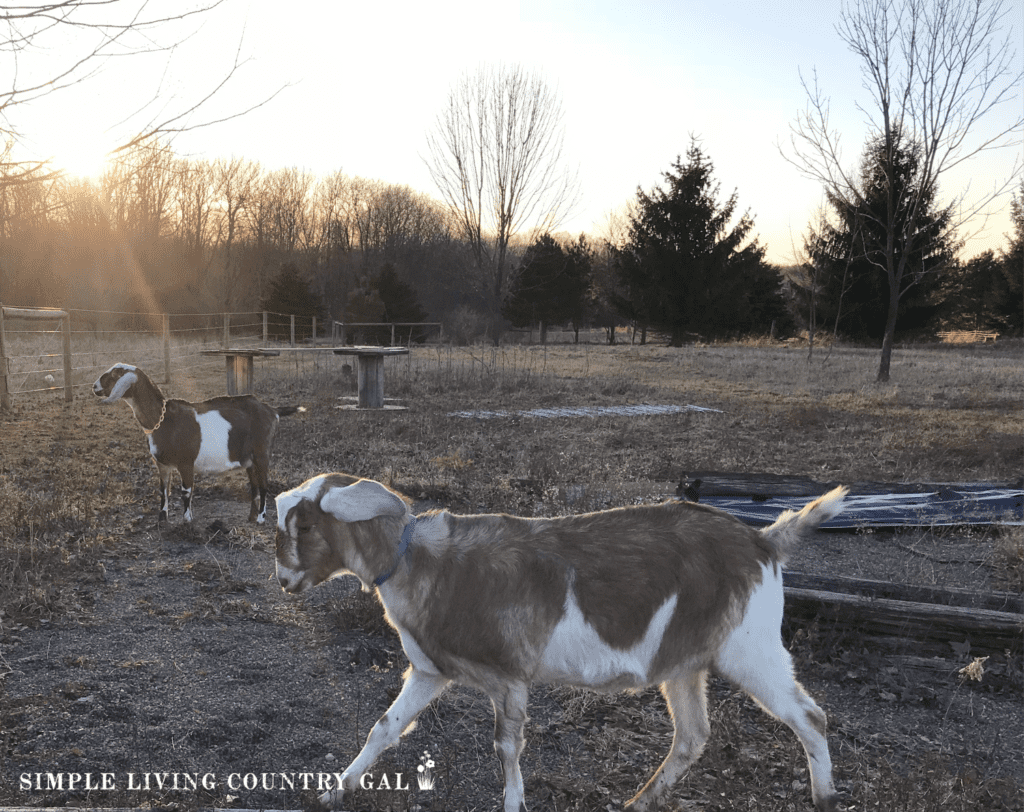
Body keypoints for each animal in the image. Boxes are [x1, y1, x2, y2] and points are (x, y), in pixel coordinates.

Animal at [93, 362, 301, 524]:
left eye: (115, 374)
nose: (94, 386)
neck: (162, 419)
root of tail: (272, 410)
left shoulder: (186, 463)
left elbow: (186, 491)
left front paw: (187, 521)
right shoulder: (161, 464)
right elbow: (163, 490)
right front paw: (162, 519)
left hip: (261, 454)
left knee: (264, 486)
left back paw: (261, 518)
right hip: (248, 459)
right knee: (255, 487)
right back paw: (250, 517)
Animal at [274, 471, 847, 810]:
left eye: (304, 526)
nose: (283, 580)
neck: (419, 562)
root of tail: (764, 540)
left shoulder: (509, 678)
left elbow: (507, 748)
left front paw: (513, 804)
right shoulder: (432, 671)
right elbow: (385, 728)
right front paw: (334, 791)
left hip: (750, 648)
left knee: (810, 717)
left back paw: (824, 796)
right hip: (686, 662)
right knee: (692, 736)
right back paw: (639, 802)